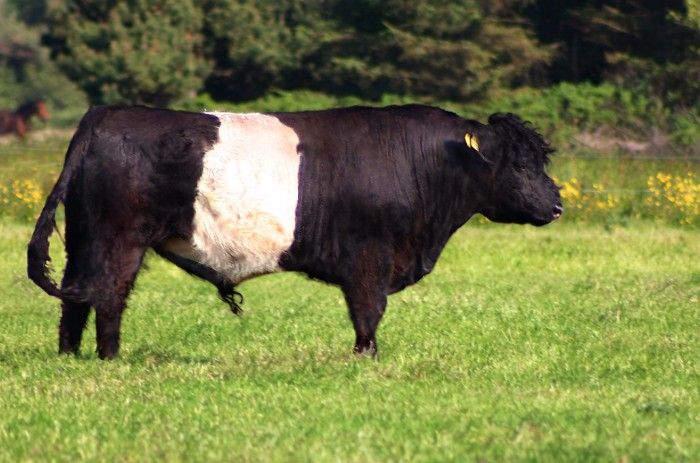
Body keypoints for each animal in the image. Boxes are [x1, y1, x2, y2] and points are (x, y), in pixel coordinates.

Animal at [28, 104, 562, 359]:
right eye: (519, 163)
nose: (557, 205)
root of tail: (106, 114)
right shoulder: (369, 257)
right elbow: (368, 312)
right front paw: (366, 358)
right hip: (120, 238)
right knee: (108, 296)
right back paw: (110, 358)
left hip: (85, 237)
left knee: (75, 300)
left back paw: (70, 356)